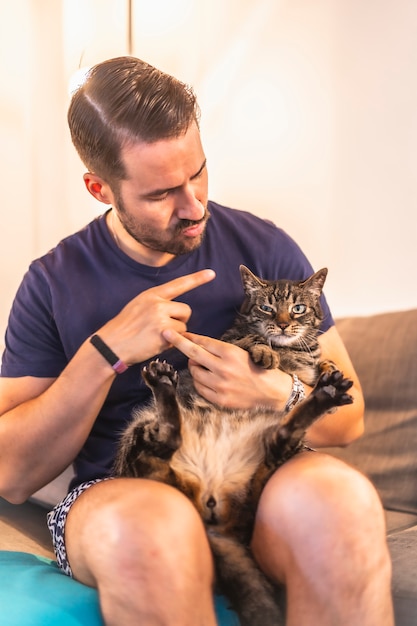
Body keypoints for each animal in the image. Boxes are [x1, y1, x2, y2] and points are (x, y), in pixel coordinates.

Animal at [112, 264, 350, 624]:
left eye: (298, 308)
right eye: (266, 307)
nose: (283, 323)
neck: (291, 351)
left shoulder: (308, 362)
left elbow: (320, 363)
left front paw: (329, 374)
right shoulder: (226, 342)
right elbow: (249, 339)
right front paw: (265, 351)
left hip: (273, 455)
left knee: (280, 441)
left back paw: (327, 395)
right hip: (142, 439)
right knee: (166, 435)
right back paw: (164, 383)